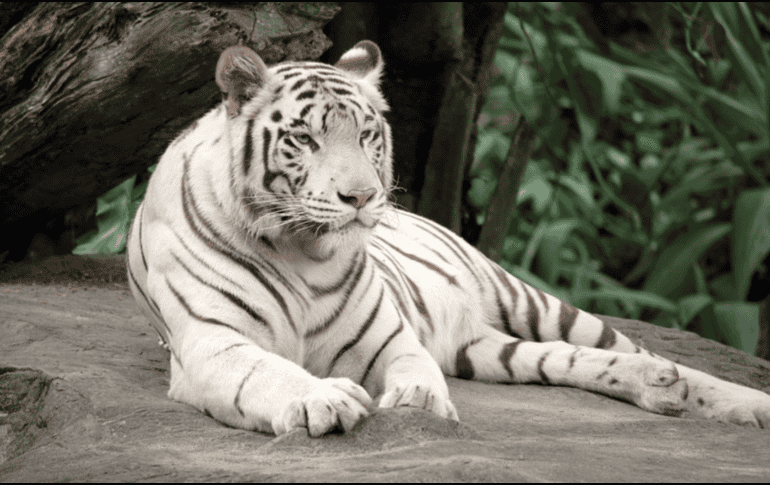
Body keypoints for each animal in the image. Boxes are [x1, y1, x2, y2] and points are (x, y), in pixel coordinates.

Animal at [126, 40, 770, 437]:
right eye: (305, 139)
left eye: (366, 134)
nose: (361, 197)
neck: (303, 250)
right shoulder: (213, 343)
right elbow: (269, 372)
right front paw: (322, 399)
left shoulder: (387, 338)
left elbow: (413, 368)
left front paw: (419, 402)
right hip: (484, 348)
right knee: (571, 361)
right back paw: (662, 391)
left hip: (530, 301)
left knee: (646, 353)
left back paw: (732, 400)